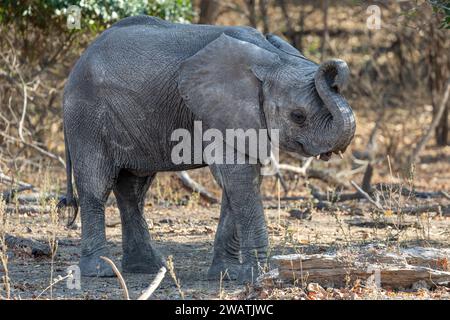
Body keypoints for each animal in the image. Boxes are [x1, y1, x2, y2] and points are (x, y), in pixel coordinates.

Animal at [60, 16, 356, 284]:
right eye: (298, 116)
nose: (335, 70)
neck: (273, 58)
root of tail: (75, 67)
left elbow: (239, 182)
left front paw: (227, 275)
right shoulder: (218, 113)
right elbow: (239, 178)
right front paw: (255, 277)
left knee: (133, 189)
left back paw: (148, 268)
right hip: (87, 118)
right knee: (96, 186)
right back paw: (102, 271)